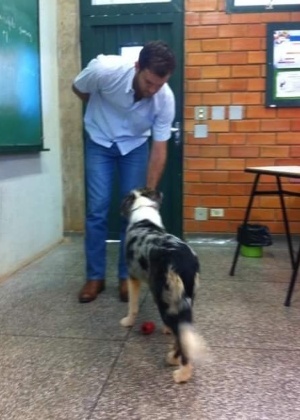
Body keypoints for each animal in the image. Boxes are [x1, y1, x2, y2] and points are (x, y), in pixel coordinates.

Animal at [119, 189, 209, 382]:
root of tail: (182, 263)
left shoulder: (133, 277)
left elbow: (133, 306)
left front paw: (128, 321)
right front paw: (166, 331)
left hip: (166, 299)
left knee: (180, 335)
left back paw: (181, 371)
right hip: (183, 299)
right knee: (183, 332)